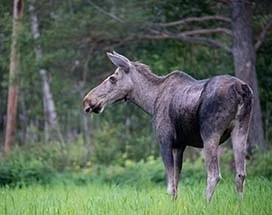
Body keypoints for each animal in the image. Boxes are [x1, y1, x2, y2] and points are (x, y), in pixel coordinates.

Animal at [83, 51, 253, 202]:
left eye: (112, 78)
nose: (87, 100)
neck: (150, 102)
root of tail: (241, 90)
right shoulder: (179, 145)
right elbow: (176, 184)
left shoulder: (165, 140)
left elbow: (170, 186)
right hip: (241, 129)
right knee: (240, 174)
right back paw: (240, 205)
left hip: (210, 133)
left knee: (214, 175)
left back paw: (206, 205)